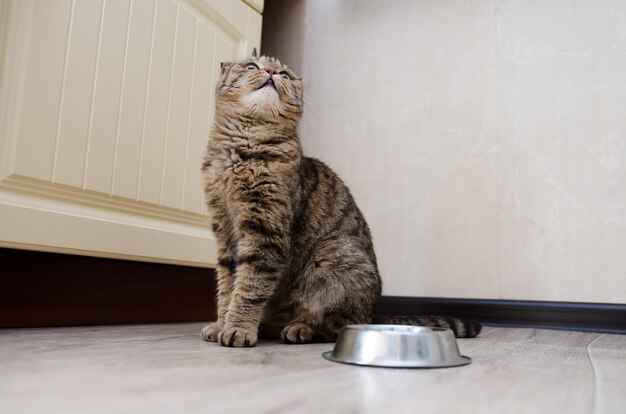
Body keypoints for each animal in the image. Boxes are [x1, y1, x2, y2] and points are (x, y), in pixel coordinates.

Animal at [200, 55, 478, 346]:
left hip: (329, 259)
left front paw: (238, 328)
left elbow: (249, 288)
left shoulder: (266, 233)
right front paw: (221, 324)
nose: (272, 71)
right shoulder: (225, 235)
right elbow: (228, 288)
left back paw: (301, 328)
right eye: (252, 66)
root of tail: (374, 313)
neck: (242, 153)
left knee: (337, 324)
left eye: (285, 75)